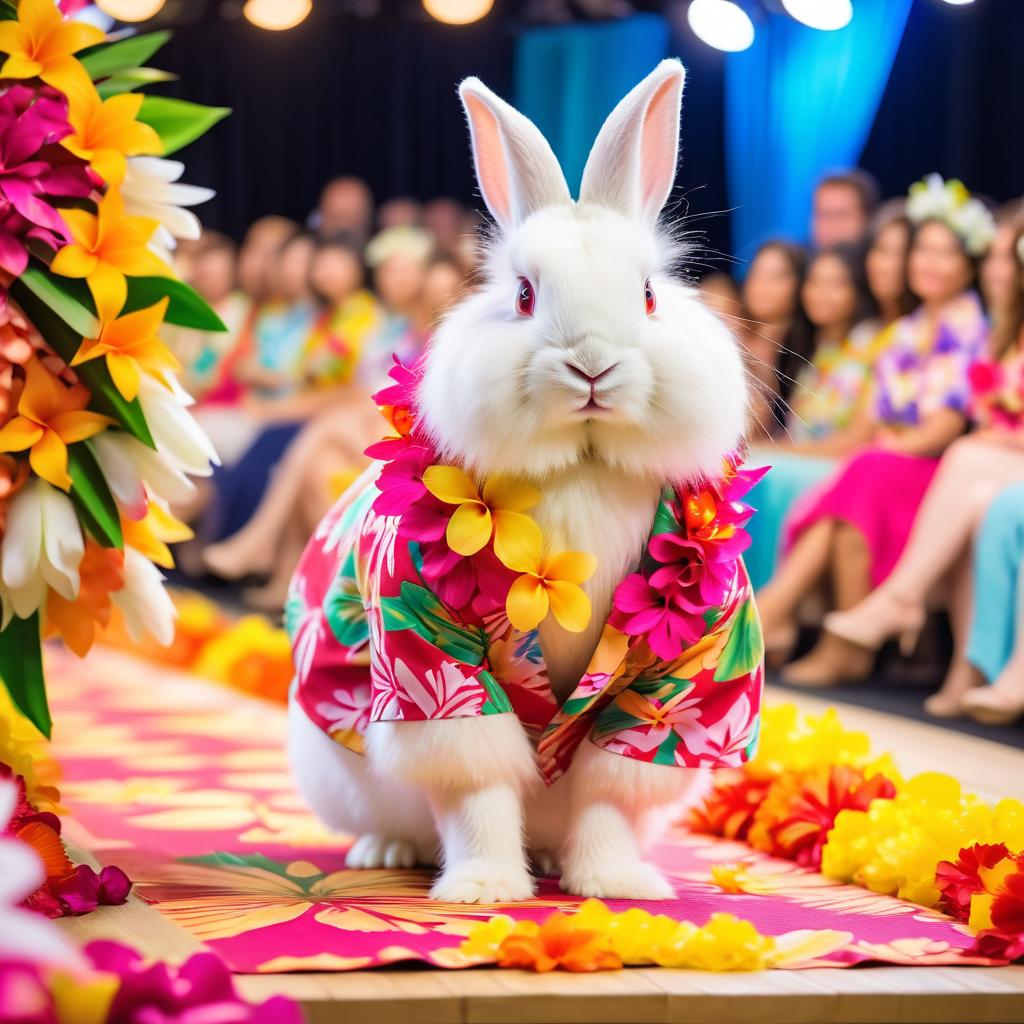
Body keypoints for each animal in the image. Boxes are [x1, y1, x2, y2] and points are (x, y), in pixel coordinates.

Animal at [288, 59, 753, 901]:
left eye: (648, 295)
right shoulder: (430, 665)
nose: (592, 365)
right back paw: (390, 853)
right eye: (525, 295)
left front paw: (615, 886)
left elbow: (609, 794)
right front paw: (483, 891)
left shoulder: (676, 690)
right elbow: (477, 789)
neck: (583, 464)